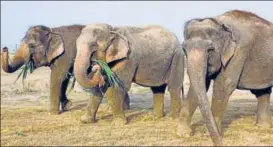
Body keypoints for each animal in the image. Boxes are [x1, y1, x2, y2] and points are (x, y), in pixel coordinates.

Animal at [176, 9, 272, 146]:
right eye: (184, 49)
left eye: (210, 50)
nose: (220, 143)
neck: (220, 22)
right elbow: (200, 86)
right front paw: (183, 133)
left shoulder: (238, 52)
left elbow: (224, 85)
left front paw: (214, 136)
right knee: (262, 91)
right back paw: (262, 127)